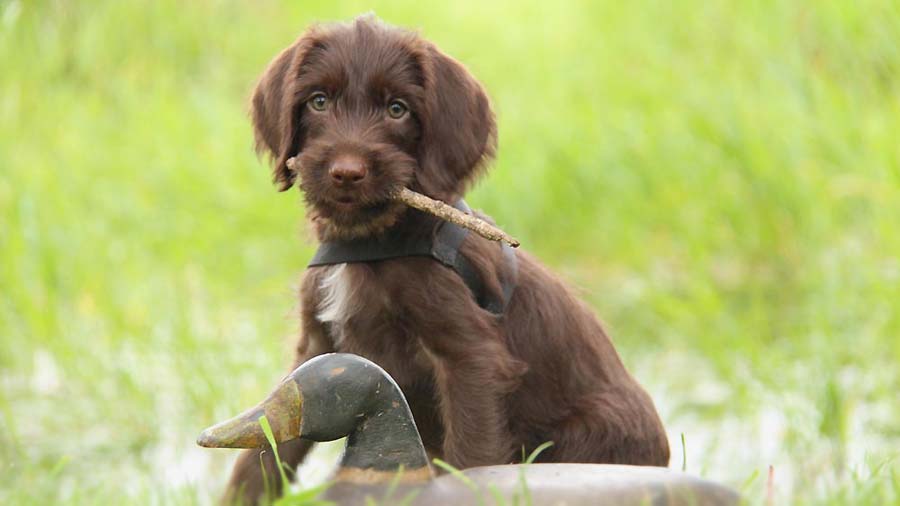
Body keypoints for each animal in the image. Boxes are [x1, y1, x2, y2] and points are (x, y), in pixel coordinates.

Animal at [227, 14, 668, 502]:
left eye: (397, 109)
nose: (346, 173)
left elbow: (472, 453)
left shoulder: (469, 359)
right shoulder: (318, 348)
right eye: (319, 101)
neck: (370, 245)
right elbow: (267, 446)